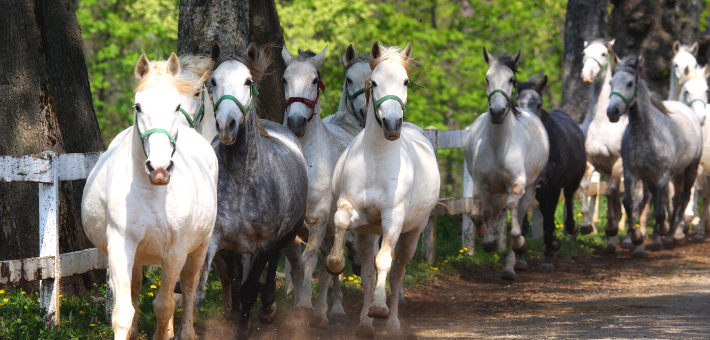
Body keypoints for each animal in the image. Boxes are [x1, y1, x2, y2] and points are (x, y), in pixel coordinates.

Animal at [82, 53, 218, 340]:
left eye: (176, 106)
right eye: (137, 106)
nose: (159, 169)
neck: (153, 192)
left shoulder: (176, 252)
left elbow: (165, 306)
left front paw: (165, 331)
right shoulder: (121, 246)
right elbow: (123, 313)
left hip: (199, 247)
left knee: (188, 288)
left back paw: (186, 332)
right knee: (135, 287)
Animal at [280, 45, 354, 326]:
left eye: (314, 80)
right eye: (284, 79)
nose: (296, 122)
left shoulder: (319, 220)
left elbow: (310, 262)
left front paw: (304, 307)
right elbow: (296, 266)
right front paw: (295, 311)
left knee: (329, 269)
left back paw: (326, 311)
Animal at [326, 41, 440, 338]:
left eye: (405, 81)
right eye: (374, 82)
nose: (391, 124)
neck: (377, 159)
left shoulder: (393, 220)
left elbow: (384, 263)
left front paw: (379, 308)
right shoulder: (354, 211)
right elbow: (341, 222)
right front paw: (336, 262)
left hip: (414, 232)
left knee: (398, 272)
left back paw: (392, 324)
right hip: (368, 233)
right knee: (368, 272)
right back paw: (365, 325)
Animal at [468, 48, 552, 282]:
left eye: (511, 79)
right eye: (487, 78)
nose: (497, 111)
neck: (499, 146)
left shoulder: (517, 184)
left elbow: (514, 217)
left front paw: (519, 243)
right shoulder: (481, 184)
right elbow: (479, 213)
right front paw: (486, 239)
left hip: (530, 188)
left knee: (518, 212)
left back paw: (510, 267)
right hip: (493, 189)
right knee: (493, 210)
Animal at [516, 75, 588, 272]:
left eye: (538, 104)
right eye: (517, 104)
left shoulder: (554, 188)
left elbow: (549, 222)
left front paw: (547, 259)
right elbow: (524, 224)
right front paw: (520, 258)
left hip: (573, 181)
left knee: (569, 198)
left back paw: (570, 228)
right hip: (541, 191)